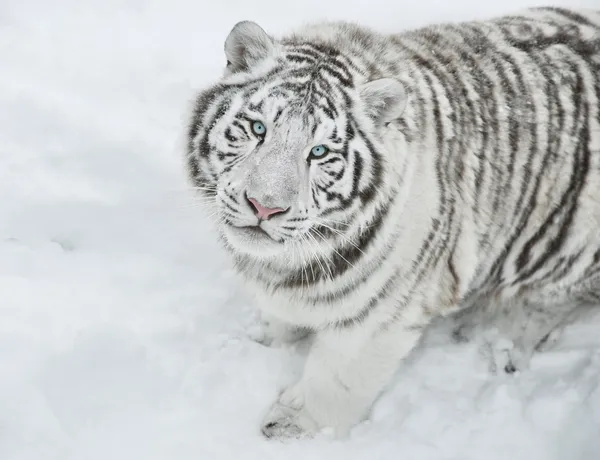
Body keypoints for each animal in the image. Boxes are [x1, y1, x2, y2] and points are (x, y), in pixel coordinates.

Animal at [186, 7, 600, 438]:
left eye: (319, 152)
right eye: (258, 129)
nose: (264, 206)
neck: (288, 262)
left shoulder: (382, 314)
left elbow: (336, 379)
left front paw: (292, 428)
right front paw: (266, 342)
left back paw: (495, 341)